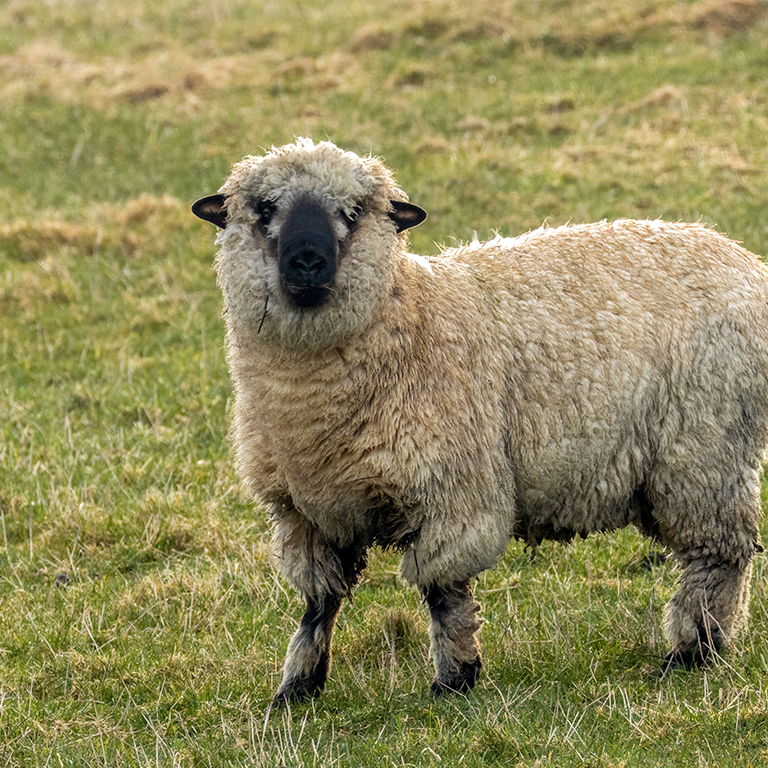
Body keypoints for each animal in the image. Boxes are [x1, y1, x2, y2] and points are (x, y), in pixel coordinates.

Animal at [192, 136, 768, 704]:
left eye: (351, 213)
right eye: (265, 209)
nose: (308, 261)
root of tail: (742, 257)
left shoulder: (453, 491)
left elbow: (443, 592)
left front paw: (454, 679)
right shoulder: (303, 512)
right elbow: (319, 604)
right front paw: (297, 686)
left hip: (704, 449)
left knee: (719, 555)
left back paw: (693, 653)